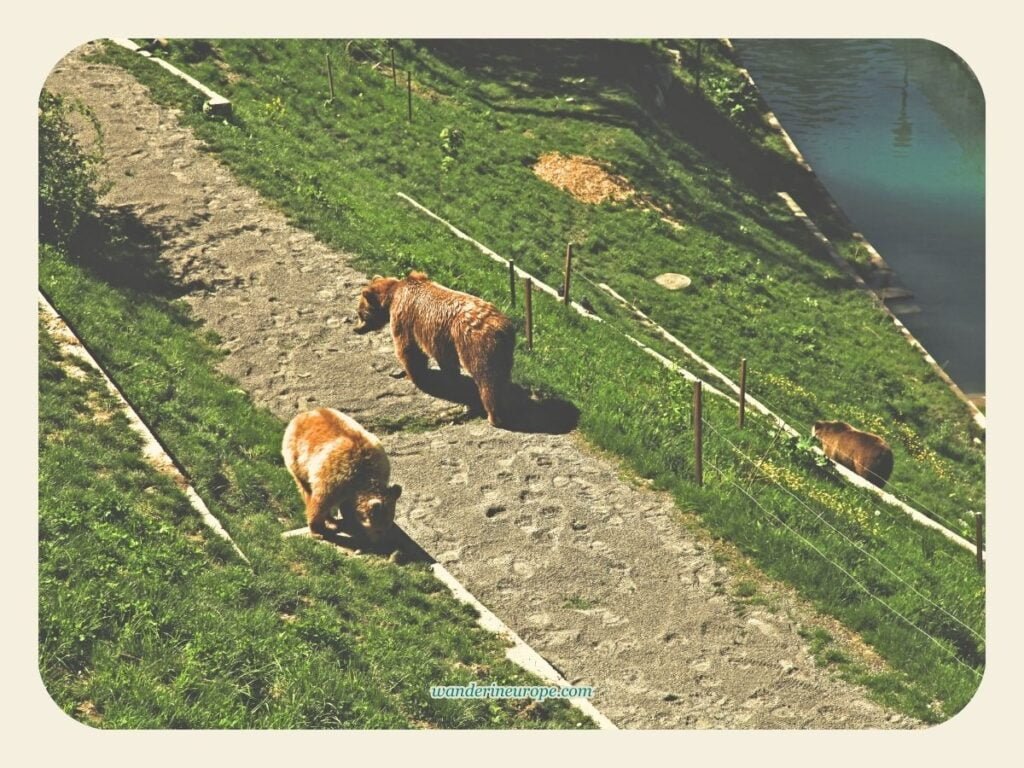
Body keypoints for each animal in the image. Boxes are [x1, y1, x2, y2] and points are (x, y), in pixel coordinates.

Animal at [282, 407, 402, 542]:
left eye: (387, 527)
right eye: (379, 530)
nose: (380, 541)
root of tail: (305, 413)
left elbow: (347, 505)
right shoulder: (333, 478)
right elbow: (320, 503)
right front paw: (318, 531)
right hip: (298, 459)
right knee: (306, 489)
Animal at [354, 271, 516, 428]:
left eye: (360, 313)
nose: (356, 329)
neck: (392, 295)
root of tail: (499, 327)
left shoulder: (404, 318)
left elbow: (408, 349)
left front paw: (412, 376)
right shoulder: (442, 341)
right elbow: (446, 363)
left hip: (475, 345)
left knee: (487, 378)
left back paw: (494, 416)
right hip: (504, 352)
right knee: (502, 377)